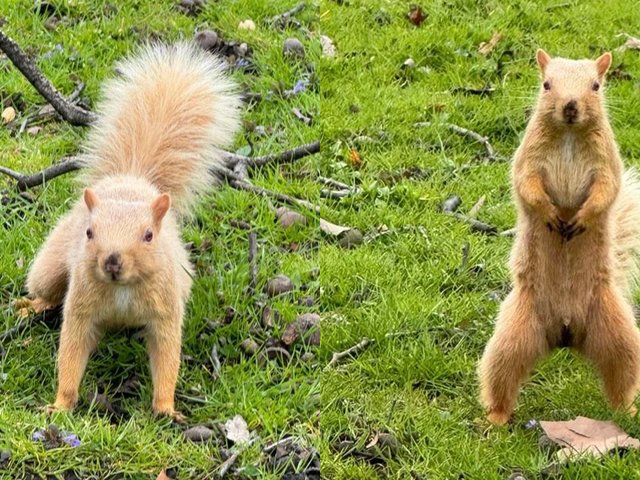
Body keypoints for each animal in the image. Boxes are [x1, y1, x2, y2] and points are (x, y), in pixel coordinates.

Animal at [24, 43, 240, 422]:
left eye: (149, 236)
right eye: (90, 232)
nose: (112, 260)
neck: (121, 289)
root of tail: (130, 179)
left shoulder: (166, 310)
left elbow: (167, 355)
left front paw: (166, 408)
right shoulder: (80, 307)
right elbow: (71, 352)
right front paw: (61, 404)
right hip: (51, 266)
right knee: (46, 288)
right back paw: (31, 305)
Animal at [478, 49, 640, 424]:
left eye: (596, 86)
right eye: (546, 84)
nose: (569, 106)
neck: (568, 135)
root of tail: (565, 333)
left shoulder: (607, 164)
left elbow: (605, 192)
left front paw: (581, 218)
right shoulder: (527, 160)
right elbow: (528, 186)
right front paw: (551, 214)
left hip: (618, 333)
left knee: (622, 374)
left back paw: (627, 411)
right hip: (513, 335)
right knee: (501, 375)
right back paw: (495, 418)